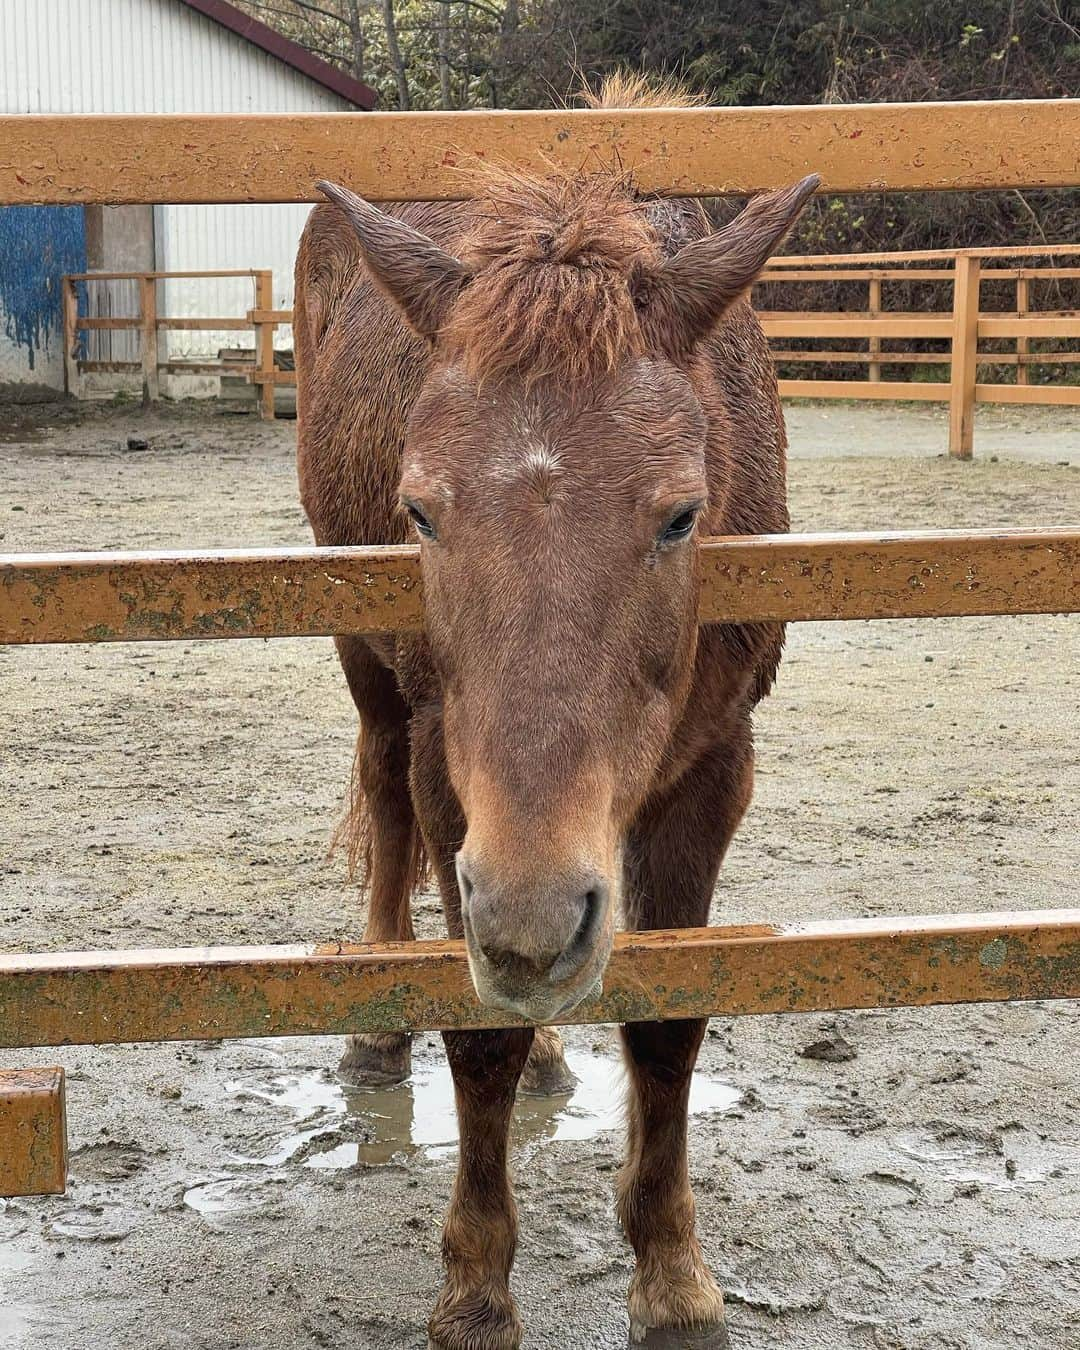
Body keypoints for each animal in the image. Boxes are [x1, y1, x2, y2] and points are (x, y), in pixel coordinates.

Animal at [291, 71, 815, 1350]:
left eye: (680, 514)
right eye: (420, 510)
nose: (533, 923)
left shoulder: (716, 768)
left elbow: (670, 1023)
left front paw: (672, 1275)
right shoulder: (451, 773)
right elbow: (476, 1030)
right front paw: (477, 1286)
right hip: (367, 666)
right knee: (381, 798)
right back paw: (377, 1025)